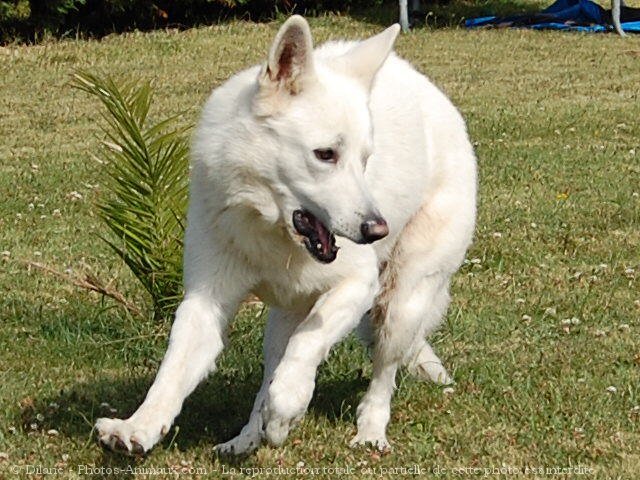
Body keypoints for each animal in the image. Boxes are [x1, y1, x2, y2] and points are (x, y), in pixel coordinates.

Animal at [95, 15, 476, 456]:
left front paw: (289, 406)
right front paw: (138, 427)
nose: (377, 229)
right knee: (269, 374)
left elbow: (306, 351)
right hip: (284, 319)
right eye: (325, 155)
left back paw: (369, 431)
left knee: (382, 375)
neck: (270, 229)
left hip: (400, 304)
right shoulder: (205, 302)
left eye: (365, 160)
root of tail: (432, 92)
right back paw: (245, 439)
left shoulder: (357, 286)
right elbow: (172, 373)